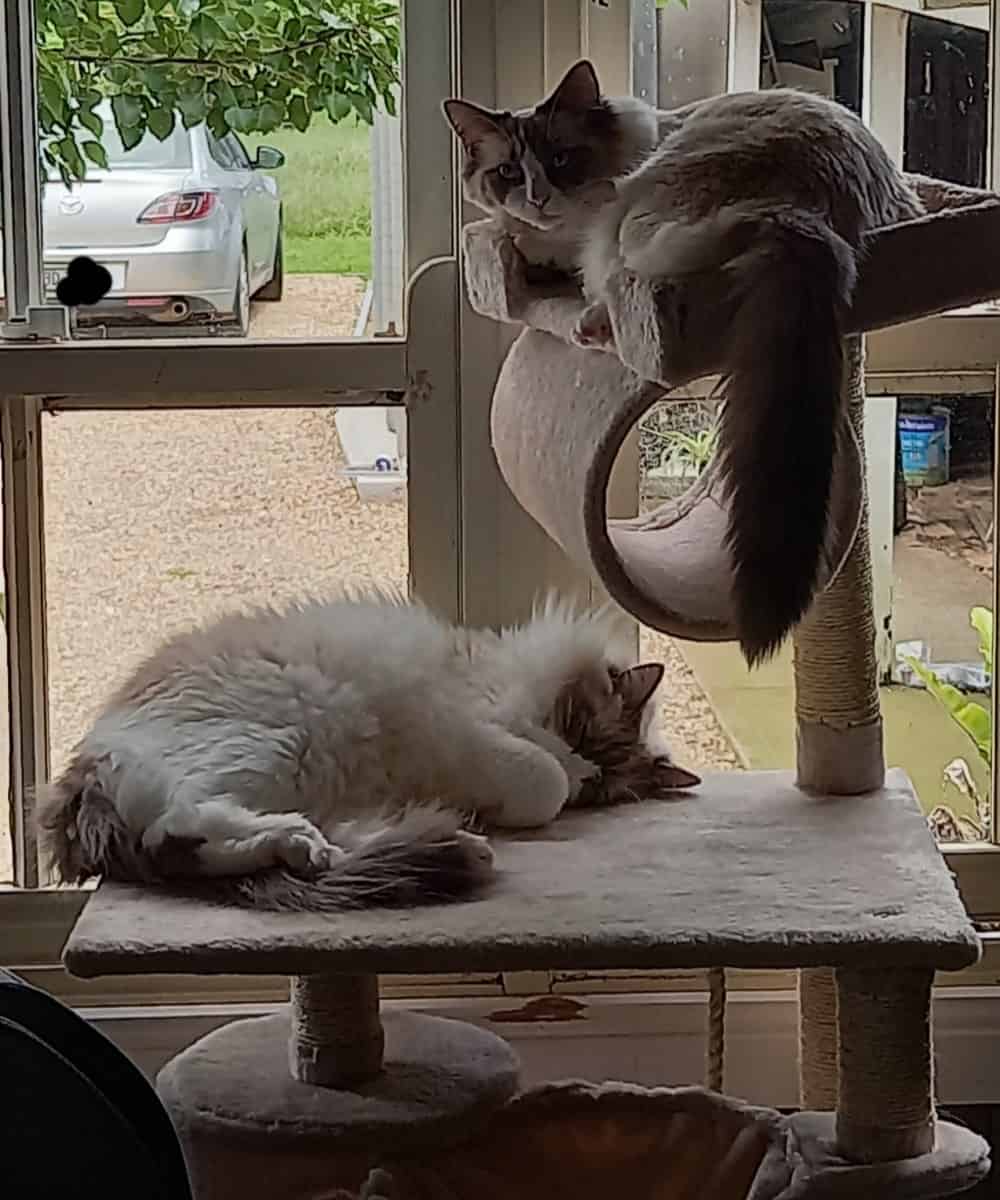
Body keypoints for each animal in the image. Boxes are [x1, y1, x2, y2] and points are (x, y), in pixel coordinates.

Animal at [37, 588, 696, 907]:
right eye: (580, 731)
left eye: (601, 782)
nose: (579, 766)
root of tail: (80, 777)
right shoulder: (465, 722)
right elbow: (540, 783)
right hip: (285, 734)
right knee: (177, 824)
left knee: (188, 842)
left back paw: (326, 848)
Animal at [441, 63, 921, 667]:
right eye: (507, 172)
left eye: (561, 160)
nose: (538, 198)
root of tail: (802, 213)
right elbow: (513, 238)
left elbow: (548, 252)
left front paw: (533, 254)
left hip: (638, 215)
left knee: (629, 273)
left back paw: (593, 322)